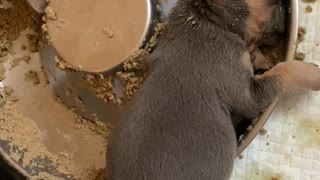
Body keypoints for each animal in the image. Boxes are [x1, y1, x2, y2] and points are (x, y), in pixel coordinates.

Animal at [107, 0, 320, 179]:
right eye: (273, 2)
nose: (286, 9)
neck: (207, 17)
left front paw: (261, 59)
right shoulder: (249, 94)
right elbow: (283, 70)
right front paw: (313, 73)